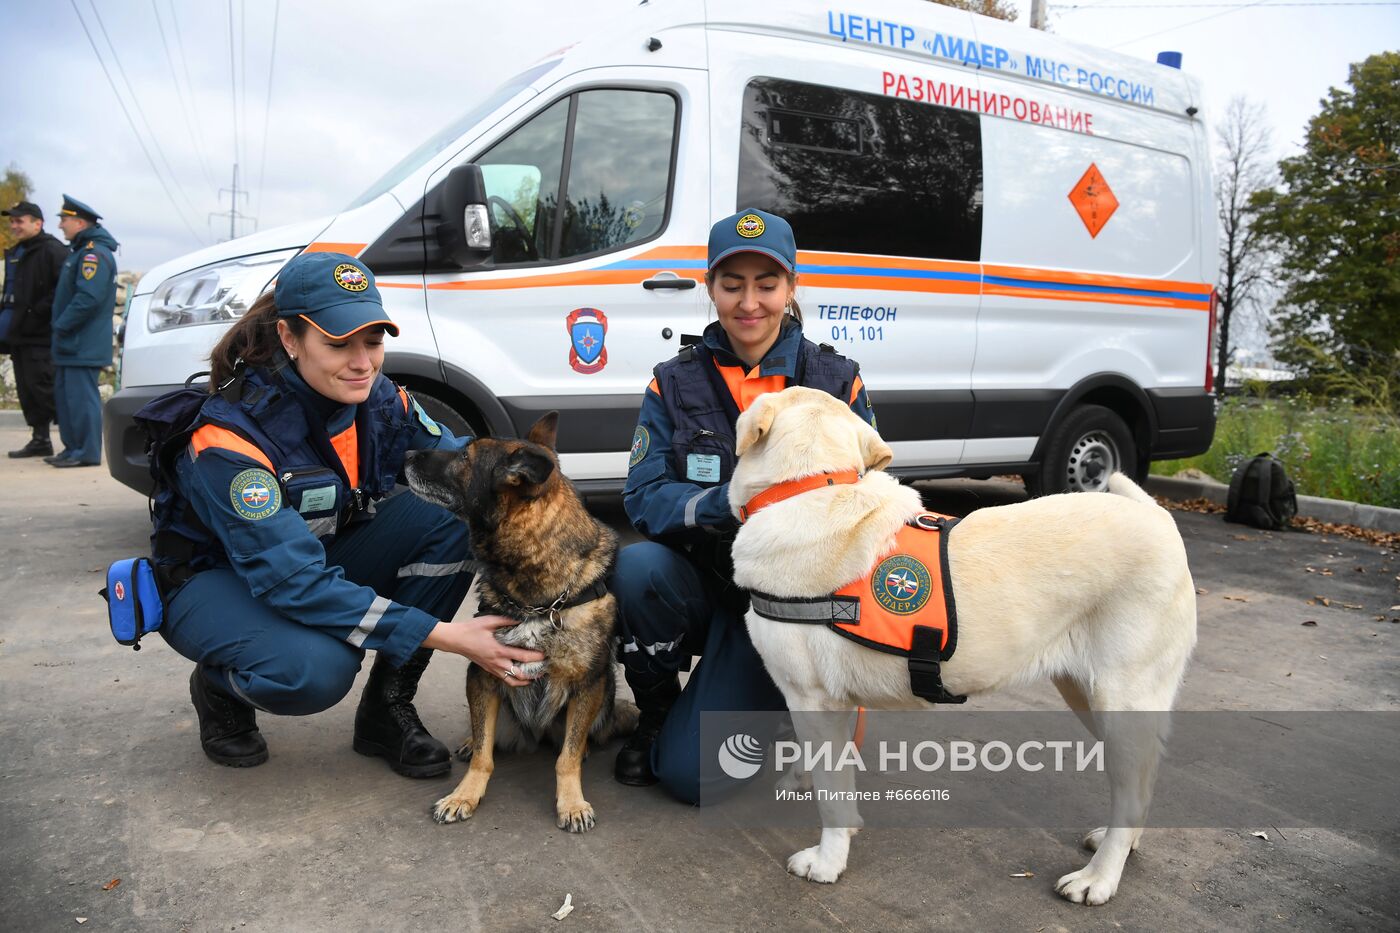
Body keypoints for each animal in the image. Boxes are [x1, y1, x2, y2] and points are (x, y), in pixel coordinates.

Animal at [403, 411, 638, 829]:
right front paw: (465, 794)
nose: (408, 452)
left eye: (464, 456)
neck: (539, 599)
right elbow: (484, 754)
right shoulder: (482, 675)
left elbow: (567, 758)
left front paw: (571, 802)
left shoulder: (587, 685)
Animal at [728, 383, 1198, 902]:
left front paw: (827, 862)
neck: (812, 486)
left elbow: (830, 791)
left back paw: (1099, 877)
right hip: (1089, 696)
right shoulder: (838, 705)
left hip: (1121, 700)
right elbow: (838, 779)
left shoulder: (813, 700)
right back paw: (1122, 846)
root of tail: (1159, 518)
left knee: (1131, 790)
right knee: (1144, 778)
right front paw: (843, 830)